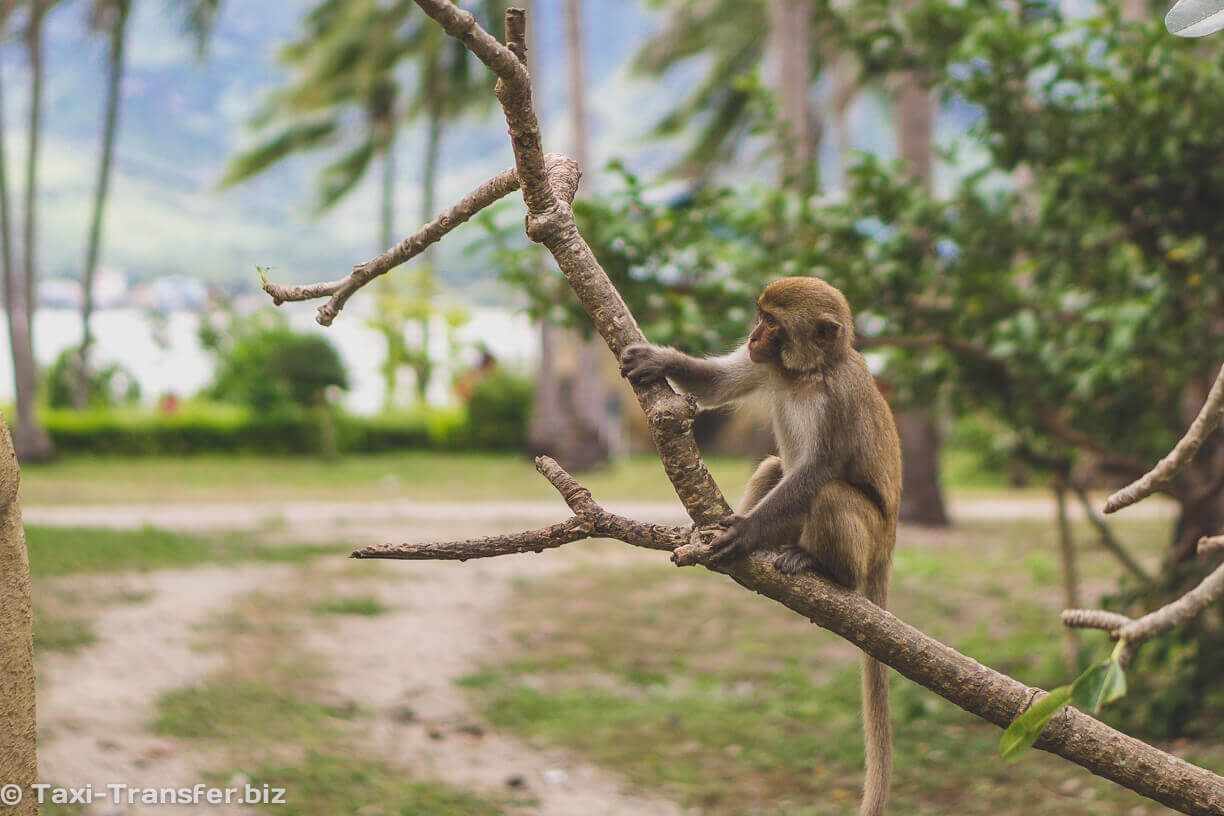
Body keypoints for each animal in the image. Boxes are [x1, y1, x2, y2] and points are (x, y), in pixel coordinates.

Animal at [621, 276, 900, 816]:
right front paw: (659, 361)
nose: (752, 334)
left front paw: (746, 532)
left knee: (828, 493)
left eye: (771, 322)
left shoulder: (836, 400)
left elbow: (817, 471)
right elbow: (718, 385)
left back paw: (825, 568)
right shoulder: (766, 365)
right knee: (774, 466)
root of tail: (889, 547)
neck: (805, 375)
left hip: (872, 535)